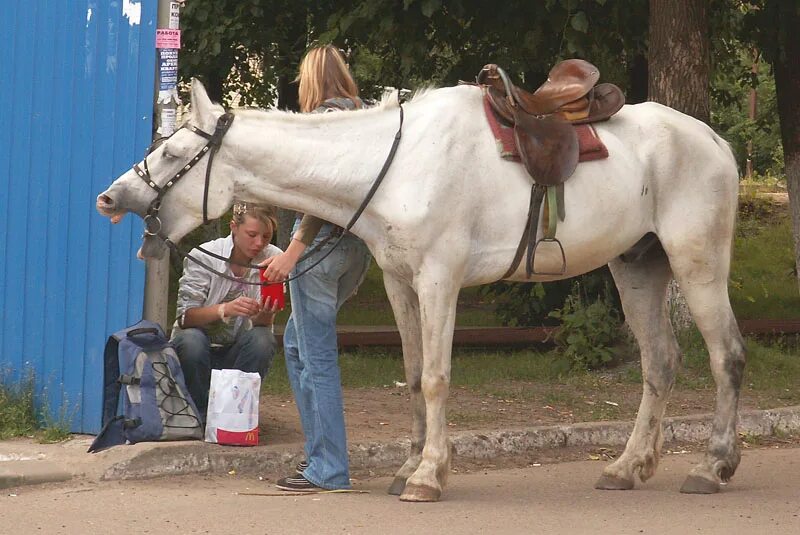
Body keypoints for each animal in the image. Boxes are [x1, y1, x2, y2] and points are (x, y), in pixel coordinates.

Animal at [98, 80, 744, 502]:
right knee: (660, 362)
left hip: (697, 262)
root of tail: (714, 141)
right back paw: (627, 467)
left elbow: (435, 377)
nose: (109, 197)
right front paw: (408, 466)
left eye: (174, 152)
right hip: (637, 268)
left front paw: (430, 474)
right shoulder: (402, 283)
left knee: (725, 357)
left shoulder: (439, 279)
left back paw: (712, 466)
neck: (396, 166)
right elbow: (411, 376)